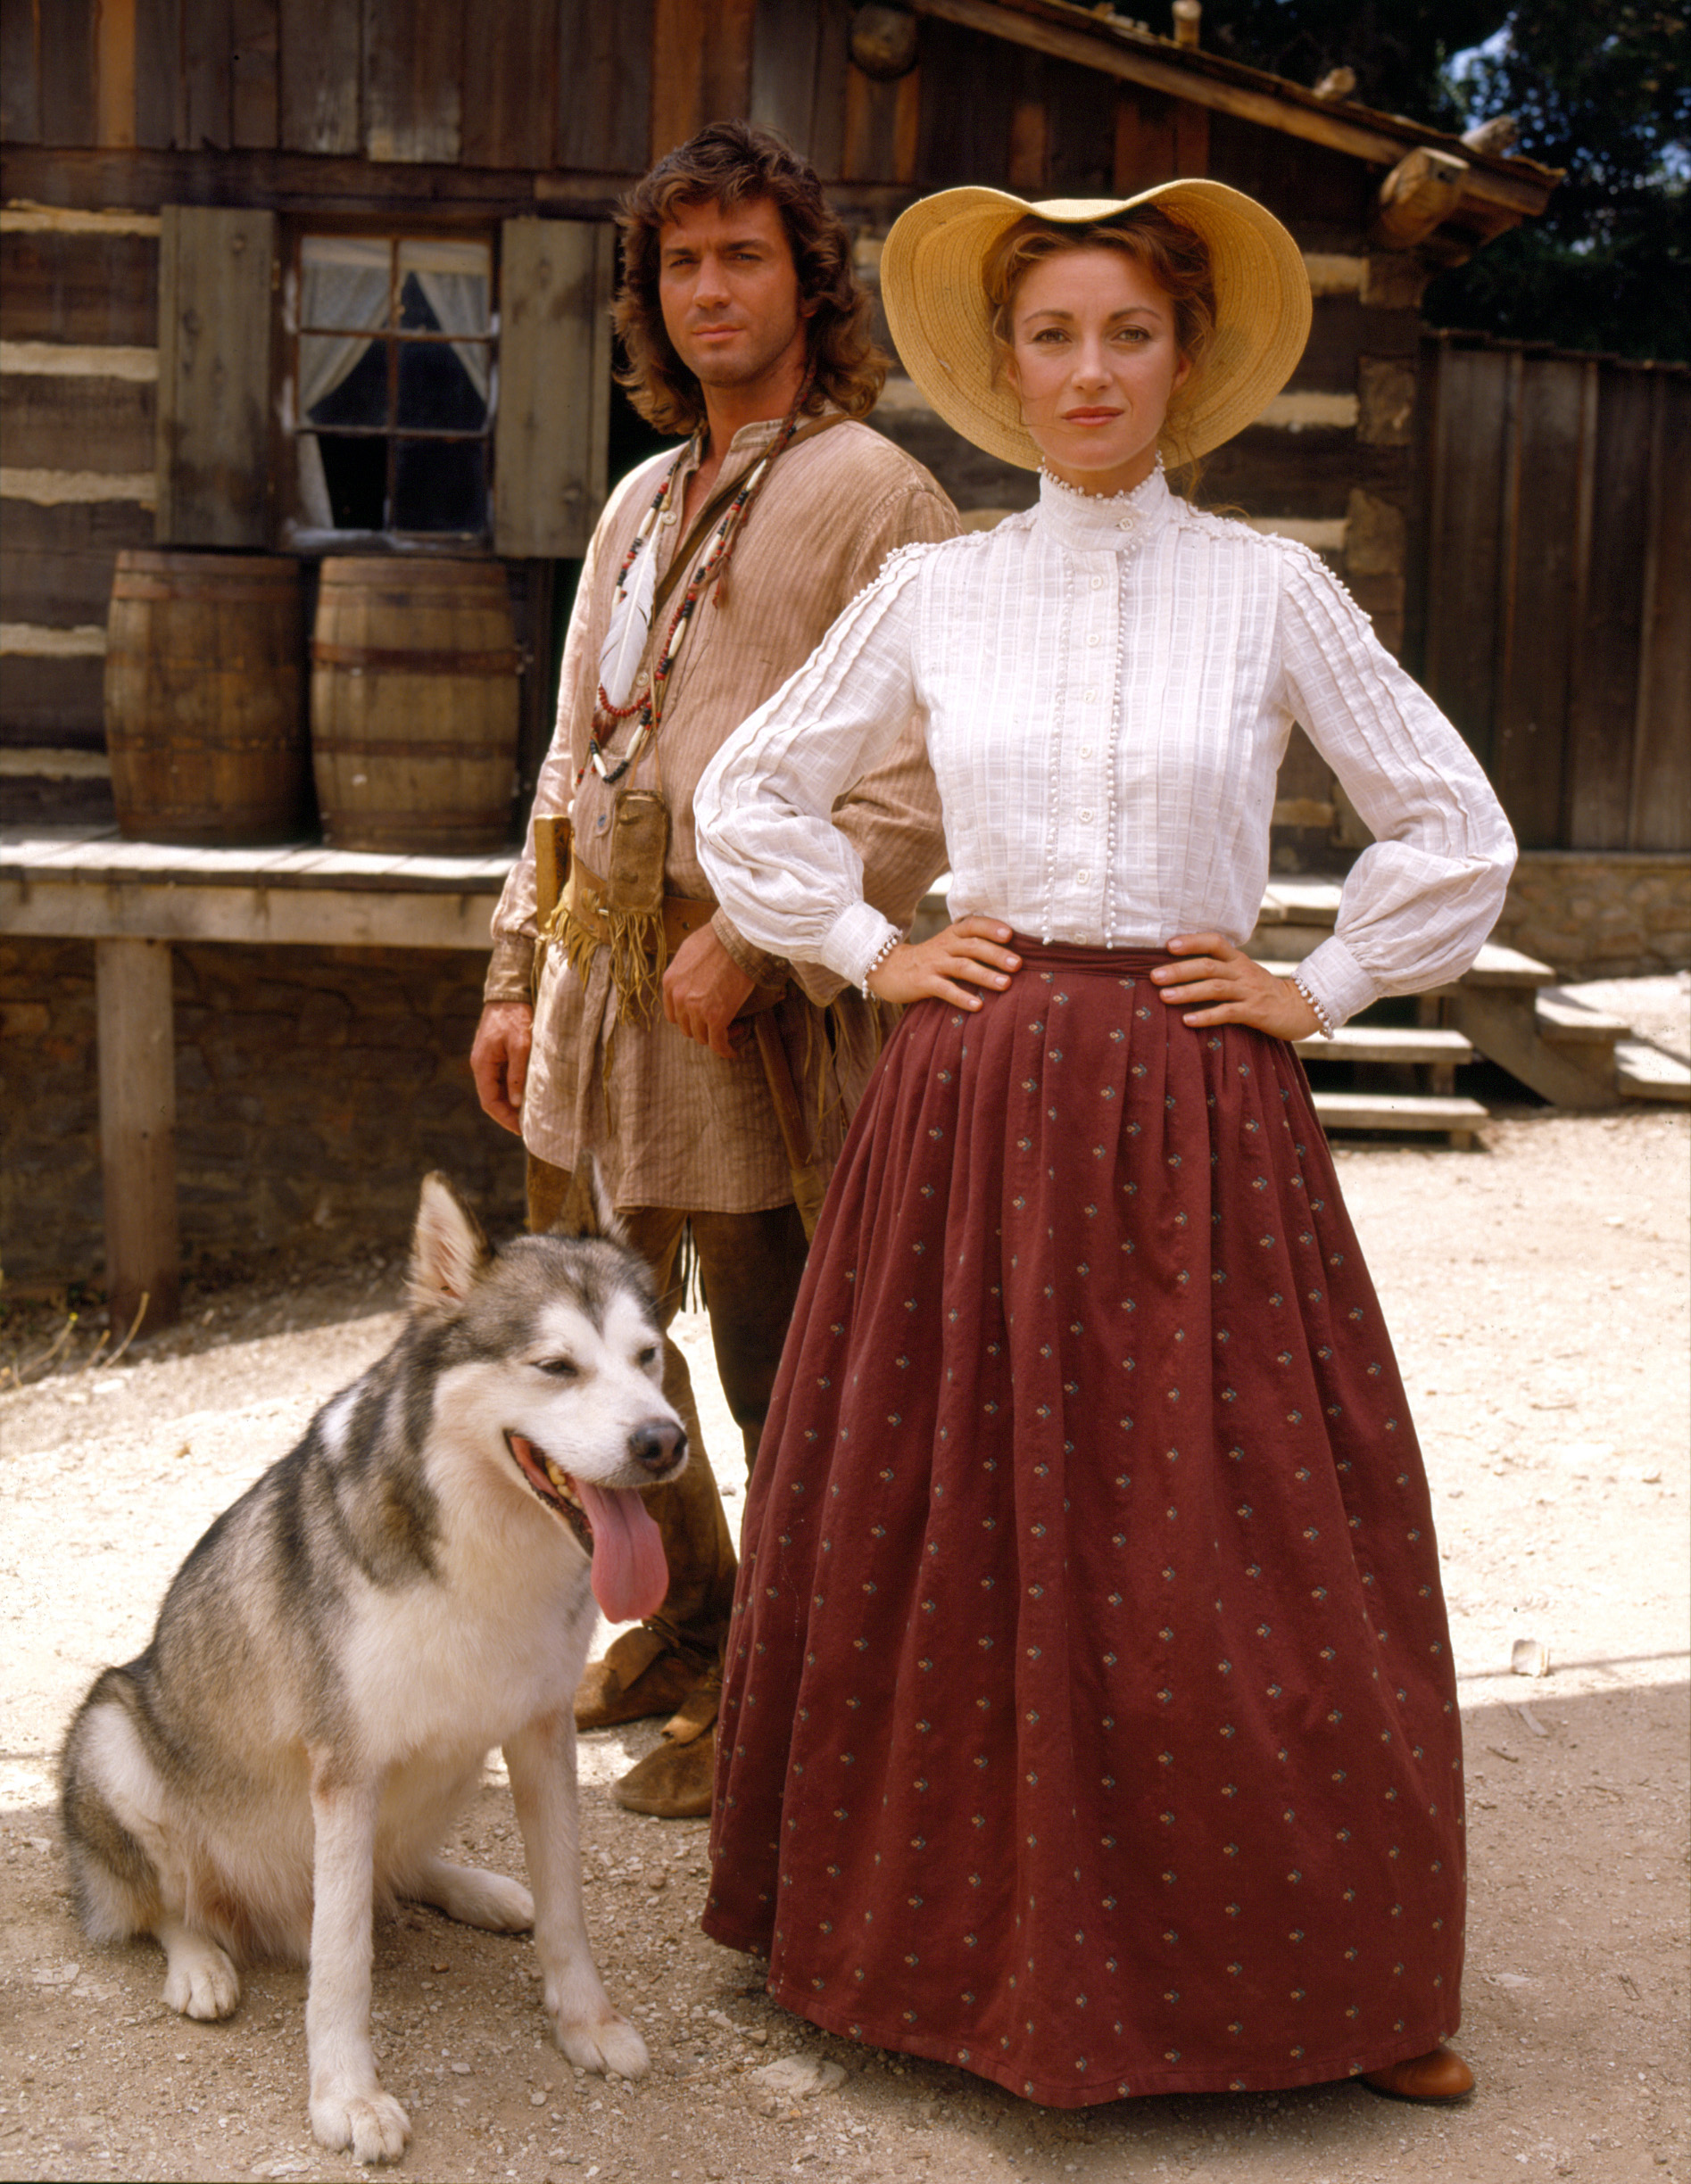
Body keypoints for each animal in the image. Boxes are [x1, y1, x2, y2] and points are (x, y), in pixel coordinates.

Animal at [61, 1171, 690, 2157]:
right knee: (168, 1905)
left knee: (398, 1871)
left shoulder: (541, 1732)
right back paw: (200, 1964)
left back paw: (476, 1889)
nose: (664, 1443)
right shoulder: (344, 1772)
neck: (485, 1549)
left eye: (647, 1356)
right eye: (556, 1367)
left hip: (455, 1762)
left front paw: (586, 2023)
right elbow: (343, 1959)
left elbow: (566, 1908)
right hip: (112, 1731)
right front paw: (347, 2100)